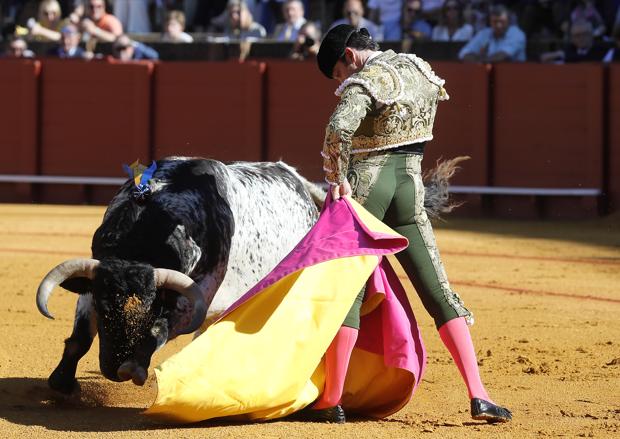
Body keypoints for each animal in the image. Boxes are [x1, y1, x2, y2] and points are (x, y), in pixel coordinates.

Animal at [35, 158, 324, 396]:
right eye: (104, 309)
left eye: (149, 309)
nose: (115, 367)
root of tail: (296, 180)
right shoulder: (94, 281)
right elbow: (81, 337)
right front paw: (62, 381)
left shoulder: (196, 295)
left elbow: (159, 328)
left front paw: (134, 367)